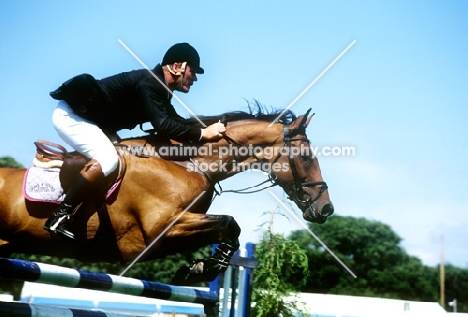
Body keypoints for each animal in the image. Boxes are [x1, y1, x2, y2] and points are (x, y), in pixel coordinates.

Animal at [0, 107, 332, 284]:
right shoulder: (159, 230)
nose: (326, 209)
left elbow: (229, 231)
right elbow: (230, 223)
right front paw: (202, 269)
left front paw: (198, 269)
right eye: (305, 157)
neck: (187, 163)